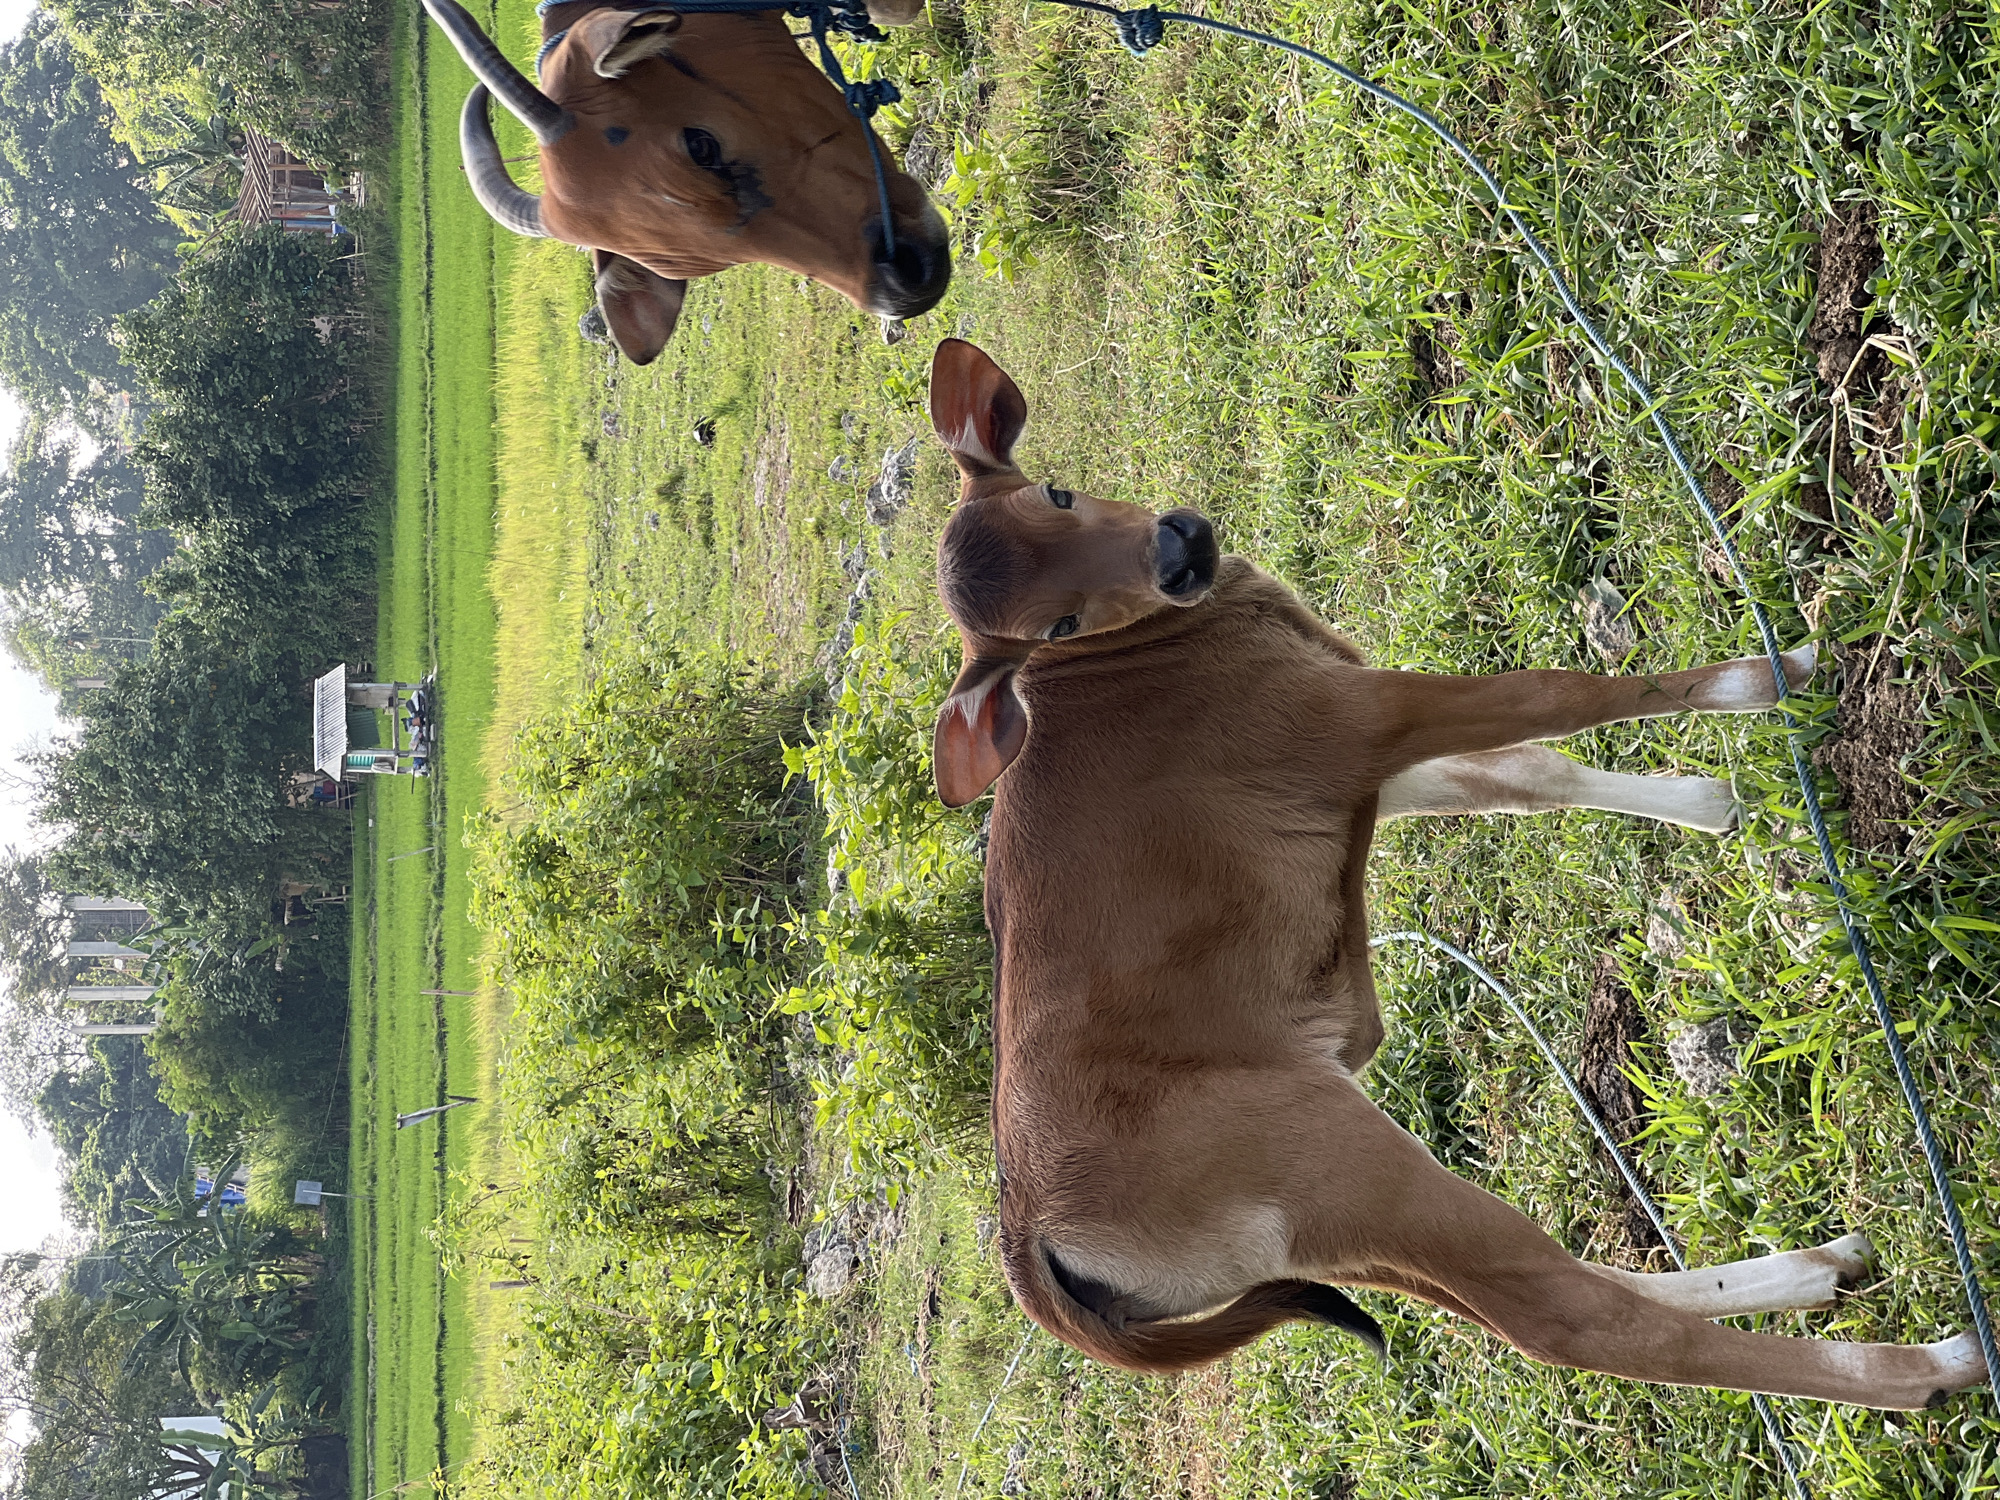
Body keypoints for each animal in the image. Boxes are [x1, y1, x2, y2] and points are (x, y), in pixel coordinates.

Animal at [922, 336, 1989, 1410]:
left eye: (1057, 492)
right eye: (1055, 626)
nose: (1180, 550)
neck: (1138, 657)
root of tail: (1028, 1240)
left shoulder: (1361, 774)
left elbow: (1527, 776)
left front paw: (1708, 802)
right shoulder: (1362, 718)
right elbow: (1565, 693)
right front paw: (1782, 668)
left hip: (1326, 1234)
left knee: (1552, 1288)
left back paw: (1819, 1269)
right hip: (1337, 1162)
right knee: (1571, 1319)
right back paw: (1934, 1365)